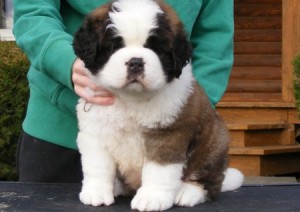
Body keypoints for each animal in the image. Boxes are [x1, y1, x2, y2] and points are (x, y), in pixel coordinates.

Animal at [72, 0, 244, 211]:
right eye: (115, 46)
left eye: (156, 48)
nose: (136, 62)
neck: (130, 99)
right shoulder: (95, 132)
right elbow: (97, 165)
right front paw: (96, 192)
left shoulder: (167, 134)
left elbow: (159, 170)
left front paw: (152, 197)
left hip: (214, 142)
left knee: (208, 182)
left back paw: (188, 192)